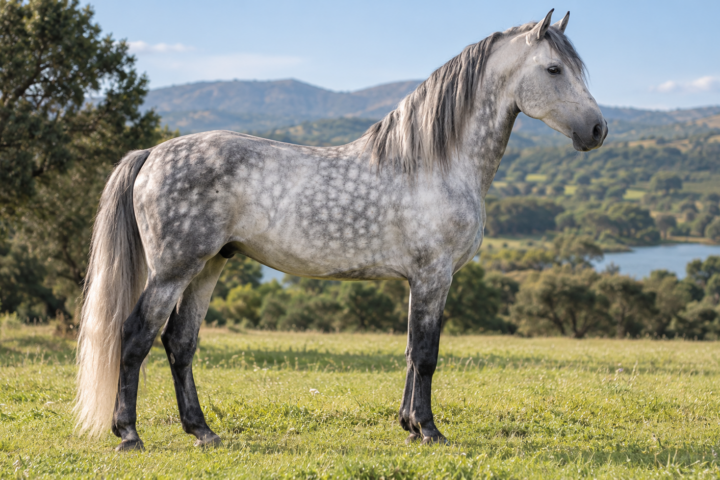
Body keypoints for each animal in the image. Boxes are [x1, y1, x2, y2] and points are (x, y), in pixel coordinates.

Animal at [75, 9, 607, 451]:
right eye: (554, 70)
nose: (598, 130)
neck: (435, 164)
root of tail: (152, 154)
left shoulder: (419, 280)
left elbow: (410, 351)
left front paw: (408, 425)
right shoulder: (434, 276)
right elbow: (427, 354)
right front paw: (429, 430)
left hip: (208, 266)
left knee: (180, 343)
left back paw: (202, 430)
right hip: (174, 269)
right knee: (136, 335)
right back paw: (129, 435)